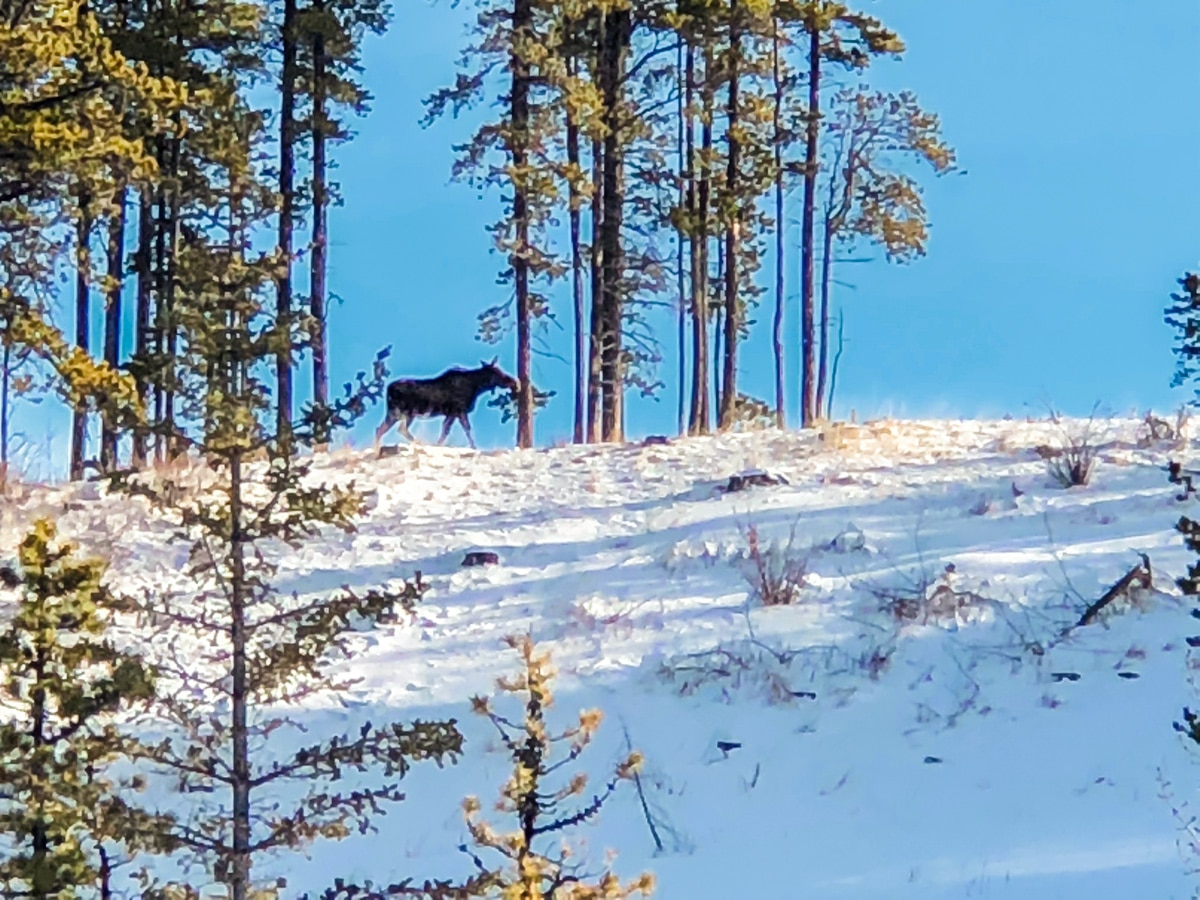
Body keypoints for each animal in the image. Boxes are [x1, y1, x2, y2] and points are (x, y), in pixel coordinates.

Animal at [372, 357, 518, 453]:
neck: (477, 387)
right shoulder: (459, 410)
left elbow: (448, 430)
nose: (513, 382)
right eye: (497, 372)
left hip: (396, 414)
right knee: (399, 429)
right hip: (404, 412)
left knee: (380, 429)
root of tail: (388, 389)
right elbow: (461, 429)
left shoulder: (452, 413)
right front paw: (473, 448)